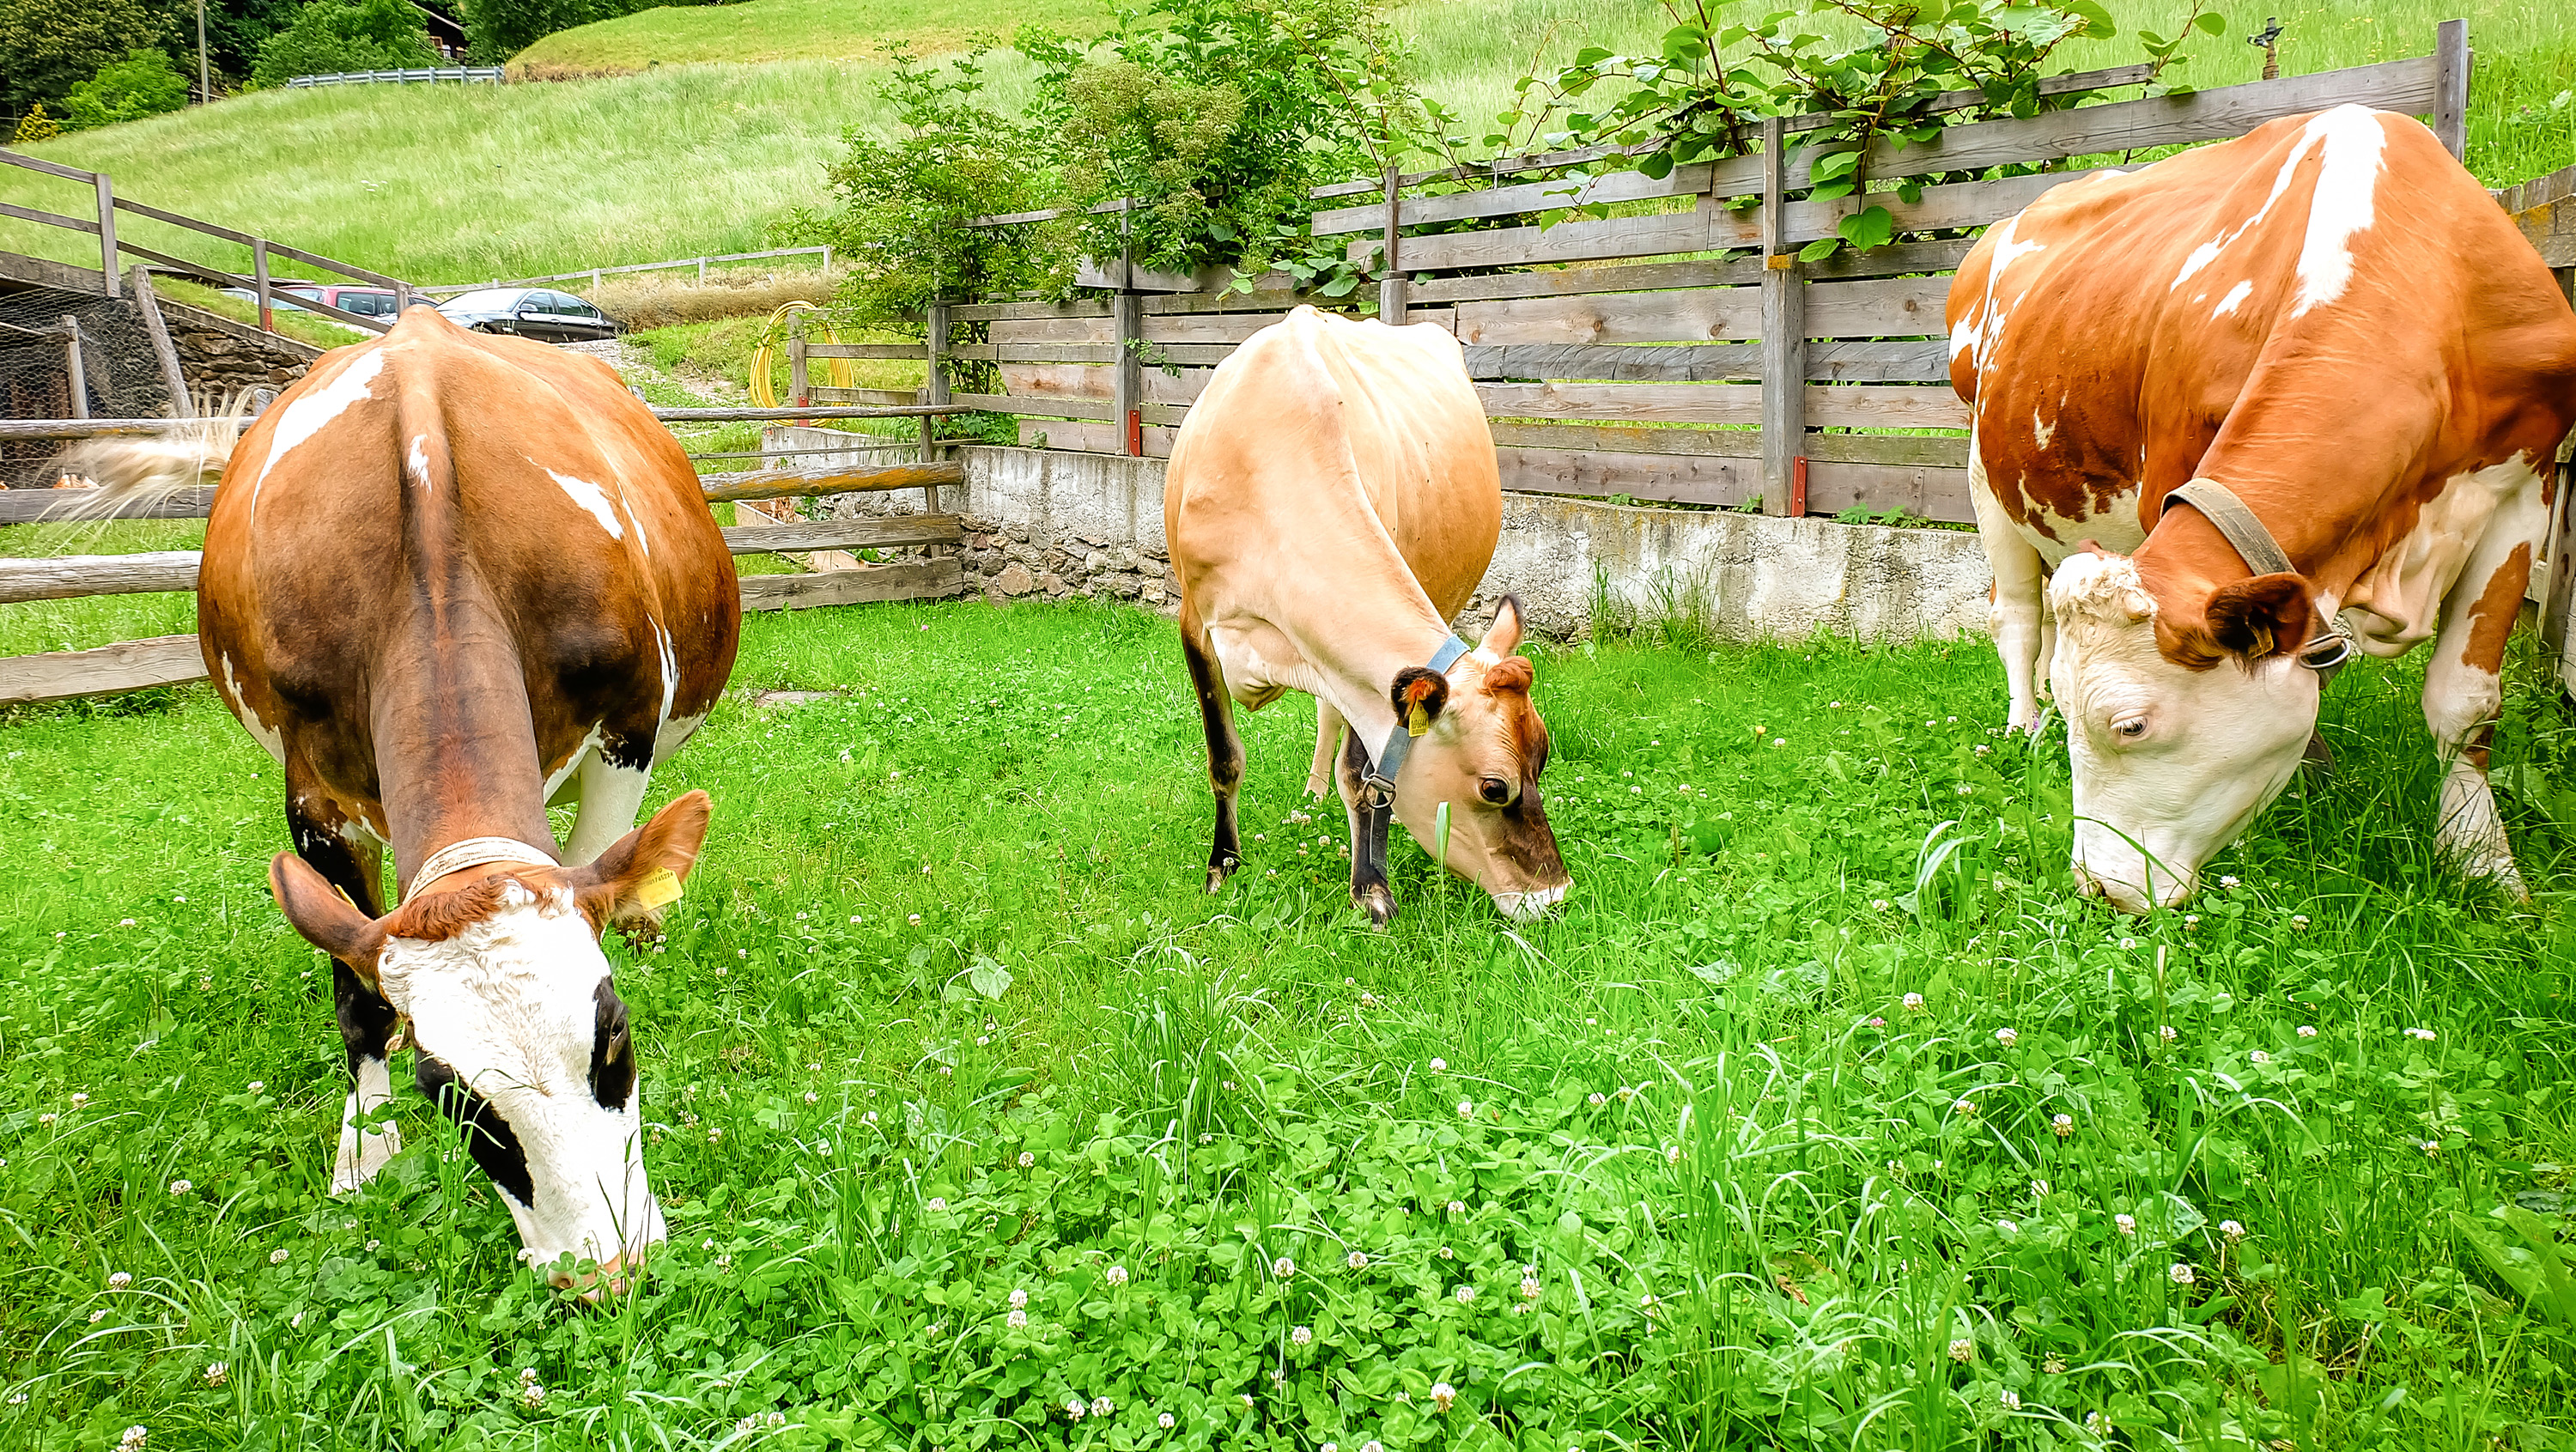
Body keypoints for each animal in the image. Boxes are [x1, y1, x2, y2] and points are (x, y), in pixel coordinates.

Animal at [61, 306, 741, 1293]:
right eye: (444, 1090)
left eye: (614, 1036)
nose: (606, 1274)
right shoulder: (315, 795)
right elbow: (361, 998)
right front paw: (366, 1152)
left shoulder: (629, 731)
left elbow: (607, 866)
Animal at [1165, 305, 1571, 926]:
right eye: (1495, 787)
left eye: (1544, 758)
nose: (1553, 895)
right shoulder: (1195, 621)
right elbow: (1225, 757)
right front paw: (1222, 867)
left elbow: (1364, 775)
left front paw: (1370, 887)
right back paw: (1310, 796)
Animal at [1949, 105, 2576, 911]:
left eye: (2131, 725)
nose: (2102, 888)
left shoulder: (2524, 488)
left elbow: (2466, 699)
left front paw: (2482, 861)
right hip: (1984, 470)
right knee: (2019, 616)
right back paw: (2026, 722)